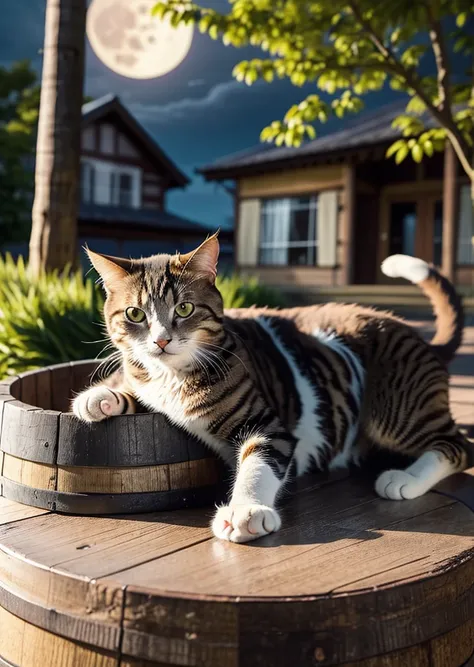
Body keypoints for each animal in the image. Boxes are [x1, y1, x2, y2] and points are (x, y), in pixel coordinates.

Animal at [74, 234, 470, 544]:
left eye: (184, 308)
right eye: (135, 314)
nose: (160, 340)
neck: (172, 376)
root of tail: (417, 336)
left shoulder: (268, 425)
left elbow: (259, 461)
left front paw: (246, 509)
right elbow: (134, 391)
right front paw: (100, 397)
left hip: (395, 406)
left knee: (459, 447)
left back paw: (406, 479)